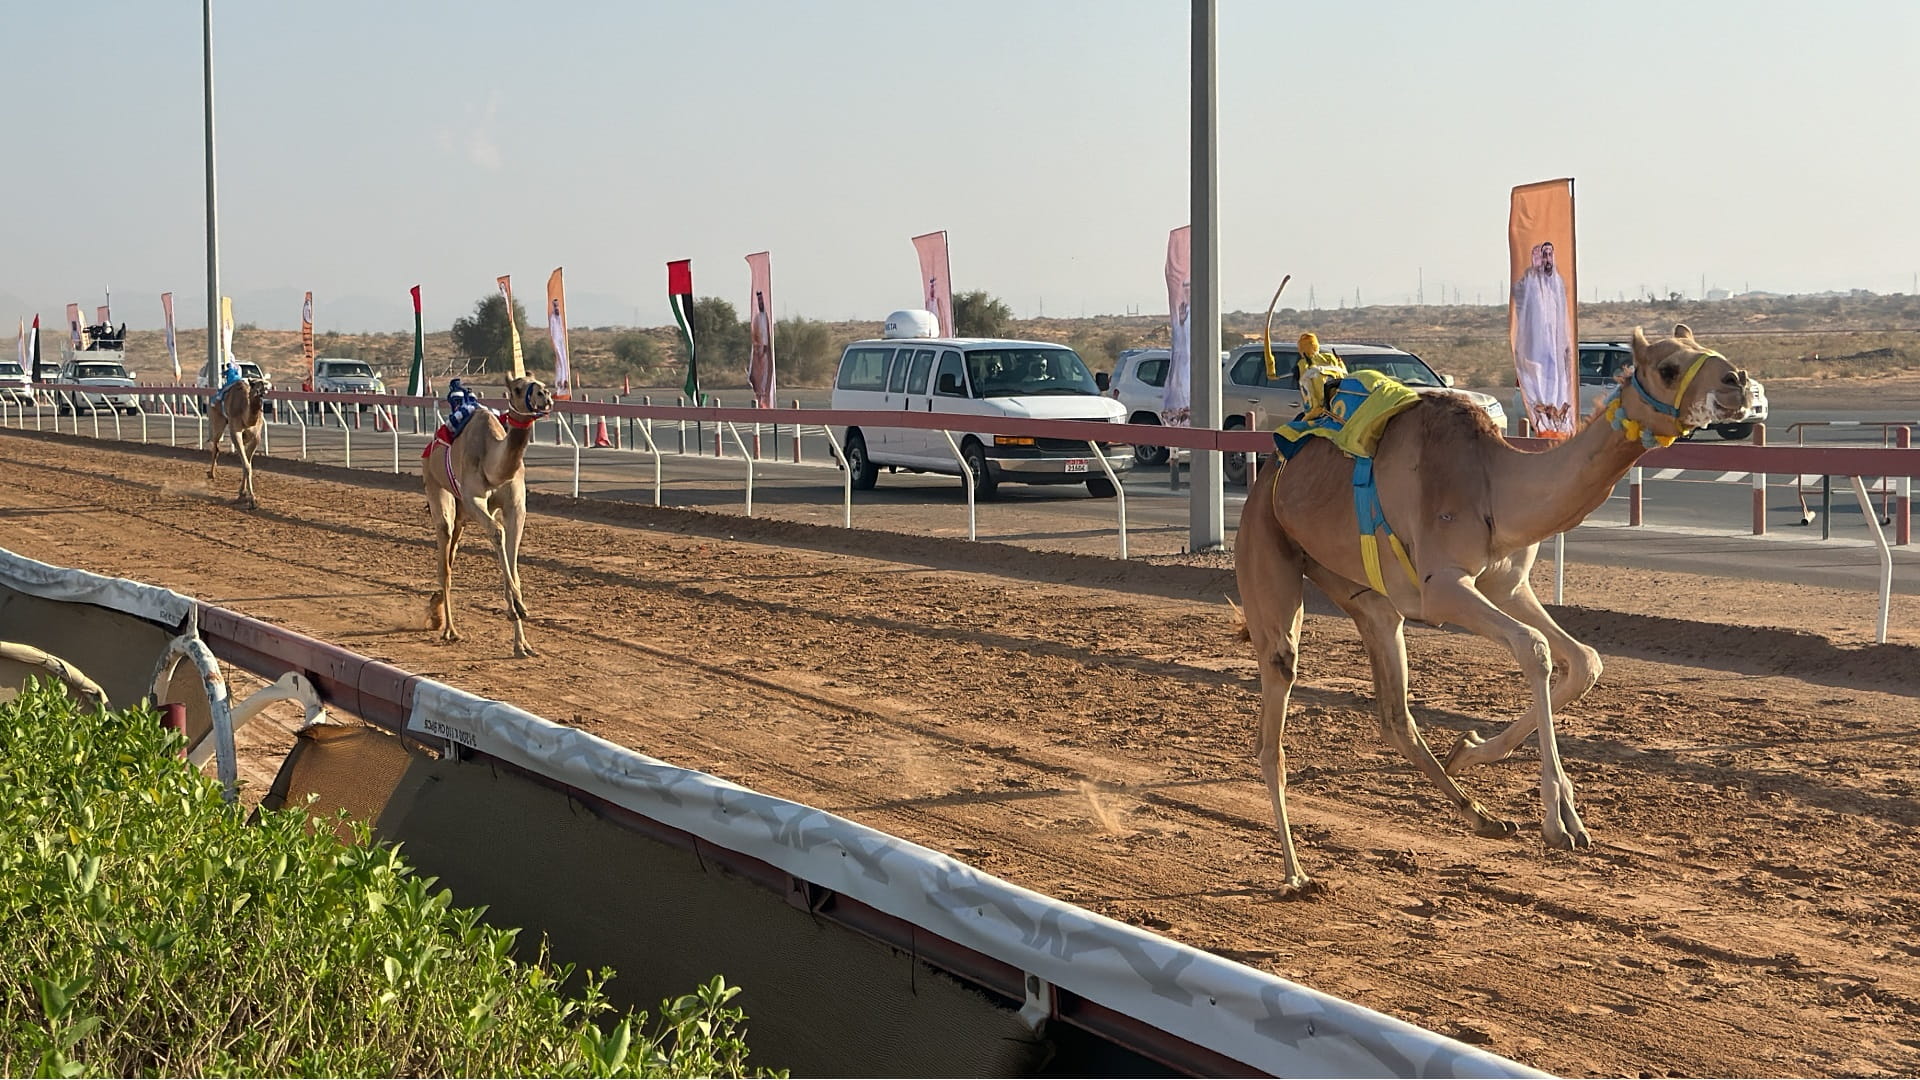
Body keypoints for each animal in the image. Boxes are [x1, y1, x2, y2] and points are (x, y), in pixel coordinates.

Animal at [206, 374, 270, 507]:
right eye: (254, 385)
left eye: (265, 387)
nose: (260, 393)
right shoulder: (235, 432)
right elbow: (247, 465)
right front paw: (252, 499)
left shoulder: (255, 437)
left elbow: (247, 464)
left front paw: (244, 493)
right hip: (217, 420)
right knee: (216, 446)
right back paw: (211, 474)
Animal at [424, 368, 552, 657]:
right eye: (517, 388)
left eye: (542, 383)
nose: (545, 395)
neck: (494, 466)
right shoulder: (474, 499)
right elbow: (497, 532)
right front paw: (517, 608)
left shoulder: (516, 506)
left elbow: (512, 553)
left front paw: (522, 642)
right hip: (436, 487)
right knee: (444, 558)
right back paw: (449, 630)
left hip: (462, 515)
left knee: (452, 554)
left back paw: (436, 607)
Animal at [1236, 322, 1758, 887]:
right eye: (1667, 367)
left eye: (1704, 348)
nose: (1738, 382)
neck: (1496, 488)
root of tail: (1268, 476)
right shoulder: (1443, 587)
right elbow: (1535, 650)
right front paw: (1560, 822)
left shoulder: (1508, 584)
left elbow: (1585, 661)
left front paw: (1469, 751)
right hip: (1267, 551)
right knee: (1275, 708)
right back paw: (1295, 873)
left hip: (1364, 594)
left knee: (1395, 714)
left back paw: (1482, 816)